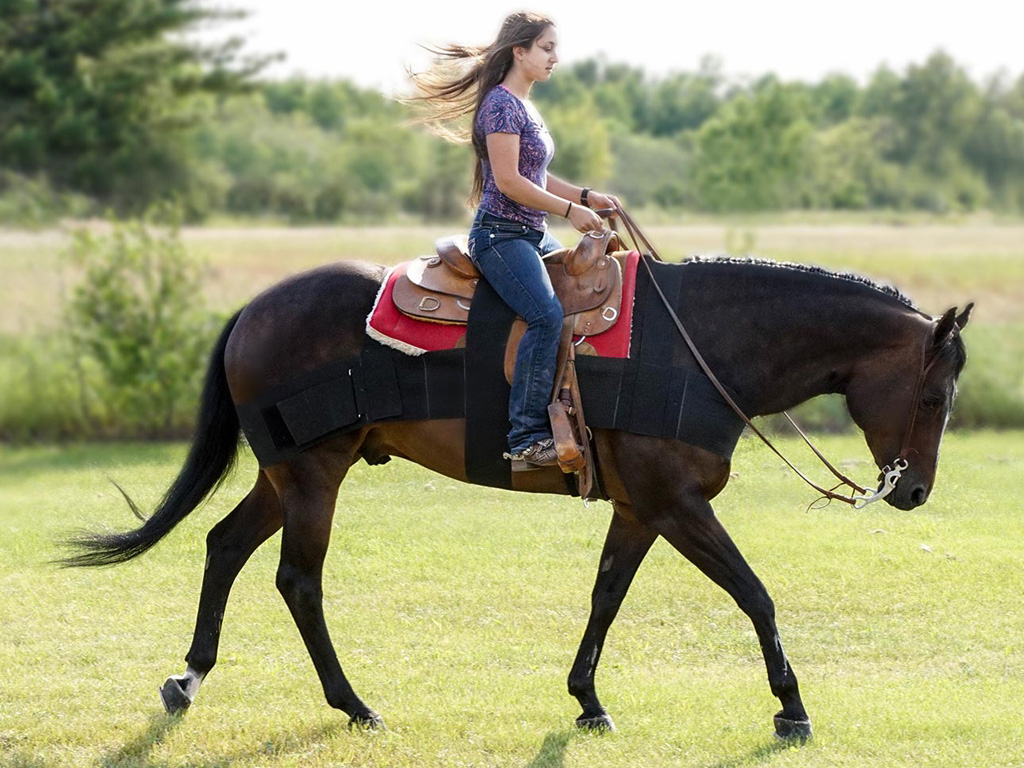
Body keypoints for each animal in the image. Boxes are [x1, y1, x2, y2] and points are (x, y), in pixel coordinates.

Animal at [61, 256, 966, 741]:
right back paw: (353, 704)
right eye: (932, 395)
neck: (697, 348)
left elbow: (605, 597)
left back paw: (188, 679)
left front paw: (587, 700)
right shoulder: (678, 508)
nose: (916, 490)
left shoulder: (639, 511)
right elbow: (756, 595)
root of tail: (252, 308)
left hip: (284, 475)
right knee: (298, 583)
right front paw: (791, 709)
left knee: (222, 546)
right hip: (314, 477)